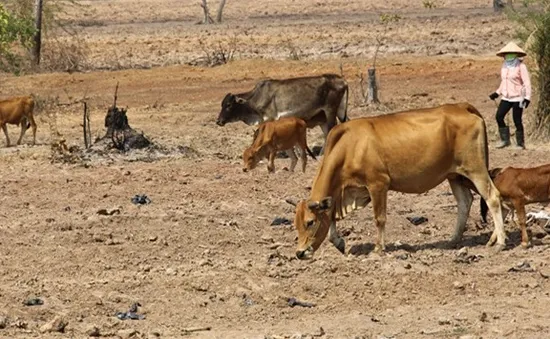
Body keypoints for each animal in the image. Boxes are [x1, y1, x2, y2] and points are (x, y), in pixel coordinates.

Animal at [217, 73, 350, 143]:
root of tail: (342, 80)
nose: (218, 121)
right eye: (222, 104)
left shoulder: (269, 118)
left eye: (229, 105)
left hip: (330, 110)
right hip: (340, 111)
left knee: (333, 128)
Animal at [286, 101, 506, 260]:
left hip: (475, 170)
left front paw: (378, 248)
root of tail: (462, 106)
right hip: (455, 176)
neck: (349, 147)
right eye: (296, 224)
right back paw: (454, 239)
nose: (300, 253)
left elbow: (379, 218)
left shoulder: (378, 184)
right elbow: (331, 216)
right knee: (465, 202)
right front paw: (339, 243)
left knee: (493, 197)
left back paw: (500, 242)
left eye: (310, 222)